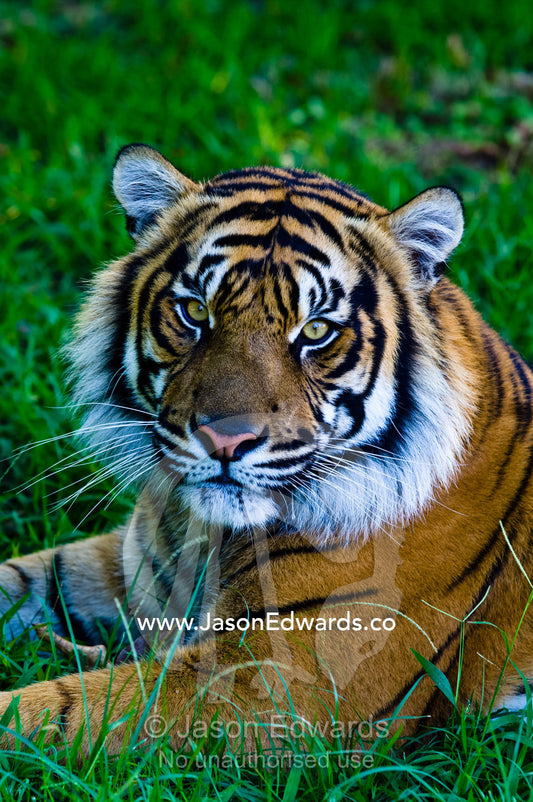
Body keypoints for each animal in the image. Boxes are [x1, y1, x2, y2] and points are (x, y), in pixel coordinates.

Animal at [2, 143, 533, 755]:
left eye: (317, 330)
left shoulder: (282, 681)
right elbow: (24, 579)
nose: (226, 440)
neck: (207, 536)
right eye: (195, 312)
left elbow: (64, 710)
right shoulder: (129, 569)